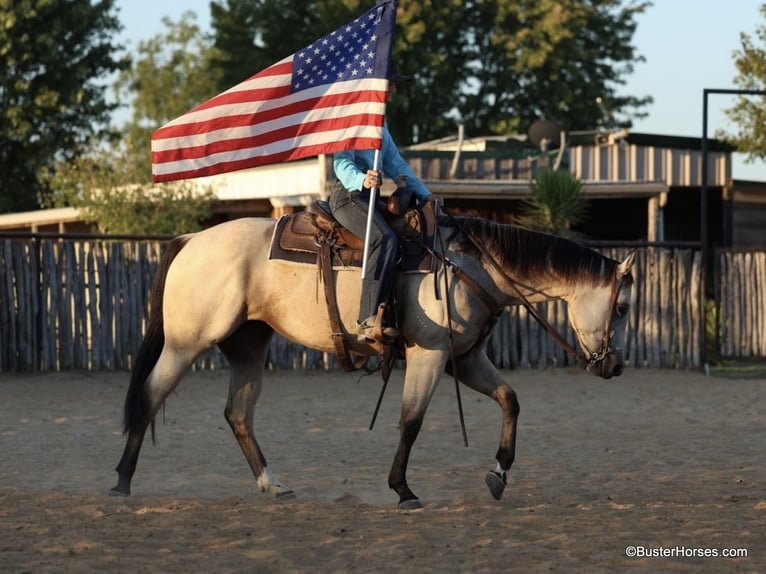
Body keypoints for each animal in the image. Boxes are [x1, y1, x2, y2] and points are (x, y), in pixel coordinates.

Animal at [110, 213, 636, 509]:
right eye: (624, 308)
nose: (614, 366)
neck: (471, 267)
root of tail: (190, 239)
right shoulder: (430, 355)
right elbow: (411, 422)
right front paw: (403, 490)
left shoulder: (464, 359)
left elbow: (510, 399)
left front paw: (498, 475)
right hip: (186, 343)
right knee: (149, 397)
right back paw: (121, 482)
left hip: (248, 346)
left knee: (238, 413)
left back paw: (273, 485)